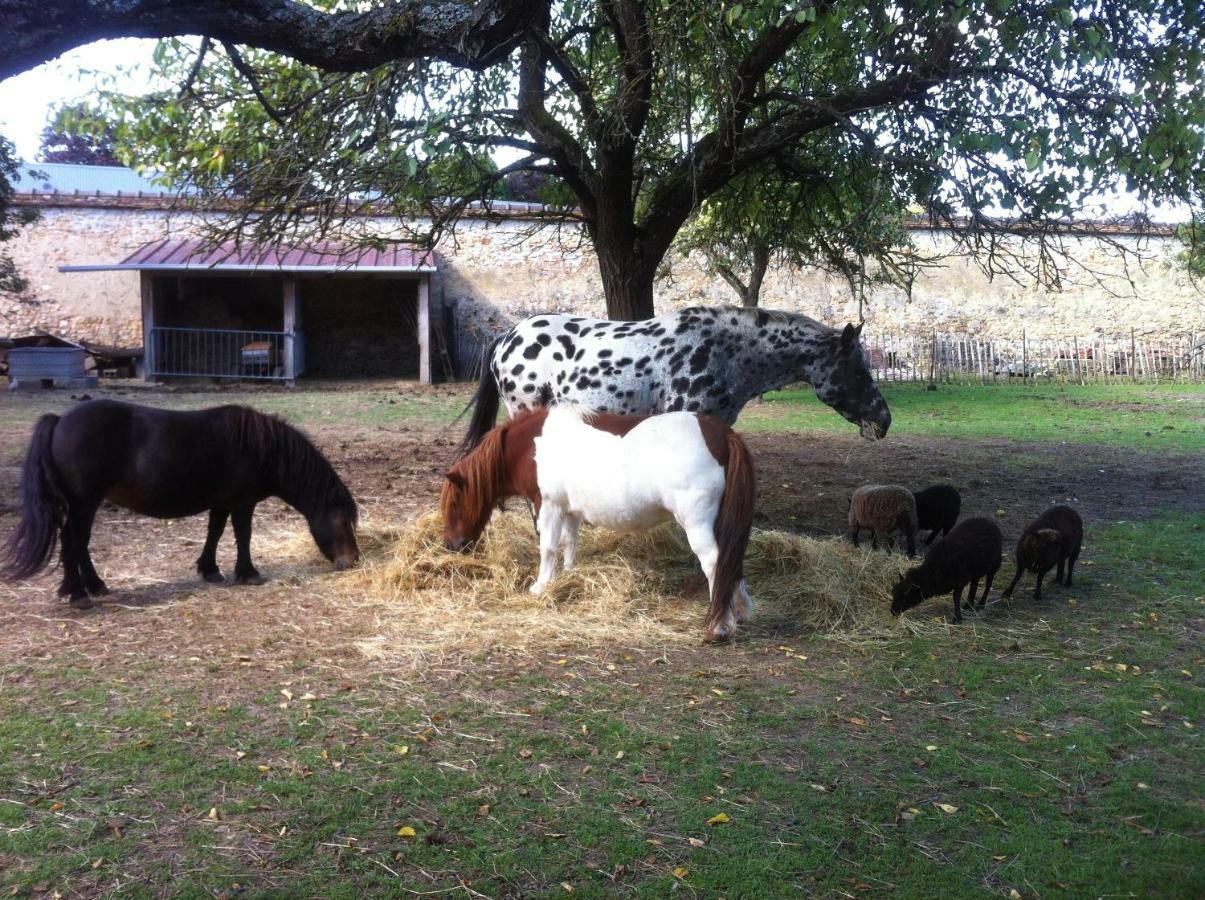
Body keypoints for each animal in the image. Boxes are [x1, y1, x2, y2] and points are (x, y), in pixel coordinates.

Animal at [3, 400, 356, 604]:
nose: (351, 561)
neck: (262, 448)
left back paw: (95, 586)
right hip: (83, 503)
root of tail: (59, 420)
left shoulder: (222, 502)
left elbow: (215, 533)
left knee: (80, 544)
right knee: (72, 542)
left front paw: (210, 570)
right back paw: (78, 593)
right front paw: (248, 573)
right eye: (341, 521)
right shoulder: (242, 503)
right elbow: (243, 536)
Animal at [443, 404, 751, 645]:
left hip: (696, 523)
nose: (451, 546)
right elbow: (569, 543)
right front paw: (568, 575)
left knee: (714, 562)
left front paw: (540, 586)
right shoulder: (569, 510)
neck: (530, 446)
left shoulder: (549, 506)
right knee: (730, 561)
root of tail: (721, 433)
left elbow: (547, 548)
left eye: (455, 504)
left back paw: (719, 626)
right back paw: (738, 611)